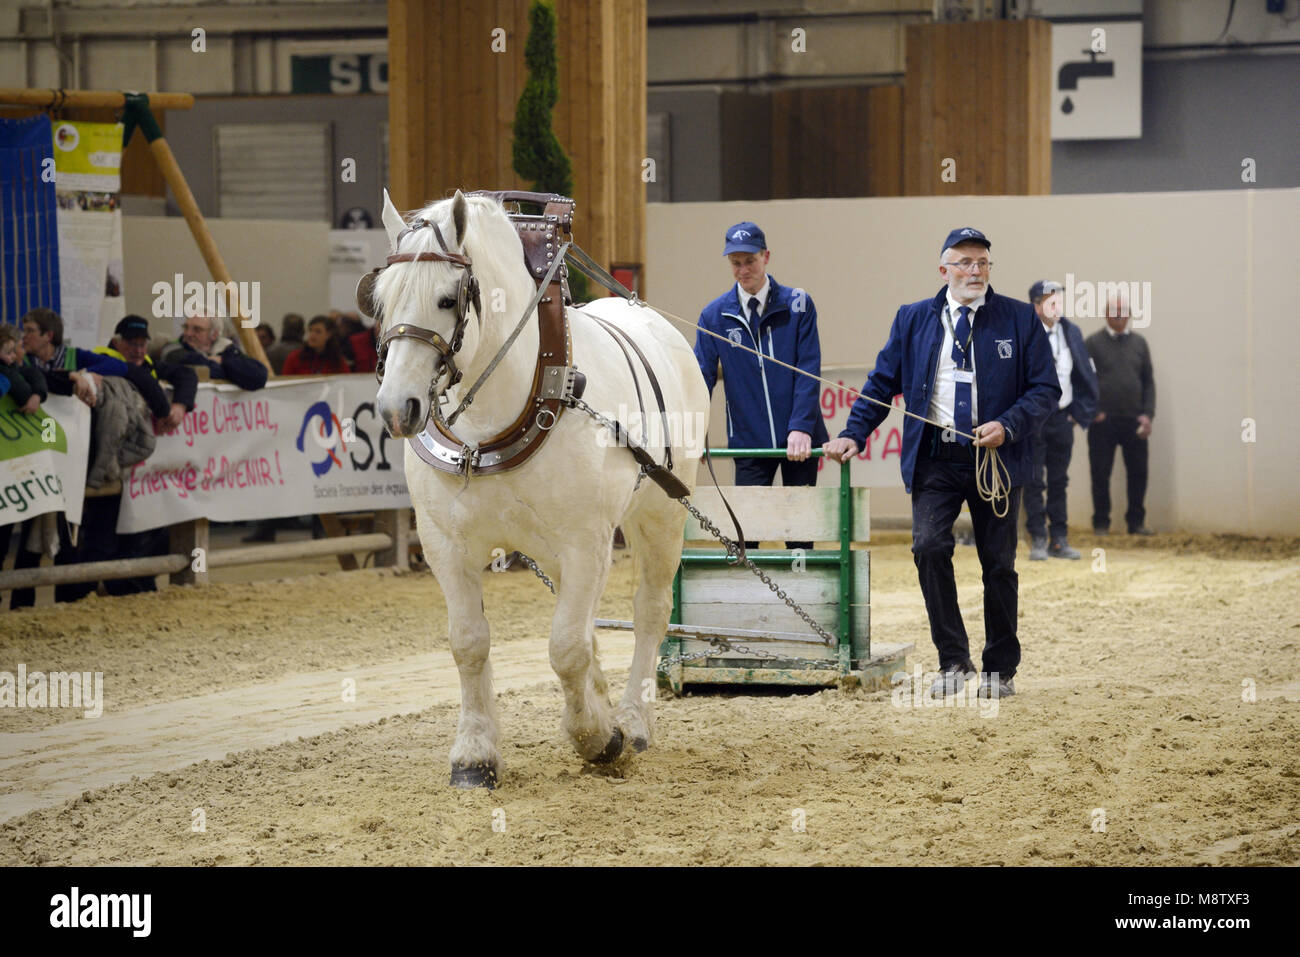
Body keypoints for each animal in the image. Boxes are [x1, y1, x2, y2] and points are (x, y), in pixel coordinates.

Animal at [372, 189, 710, 788]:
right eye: (381, 301)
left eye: (446, 299)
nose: (396, 408)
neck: (492, 423)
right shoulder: (445, 545)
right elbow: (470, 643)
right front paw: (475, 754)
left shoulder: (587, 541)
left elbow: (566, 647)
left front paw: (597, 738)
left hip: (660, 515)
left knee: (648, 611)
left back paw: (632, 720)